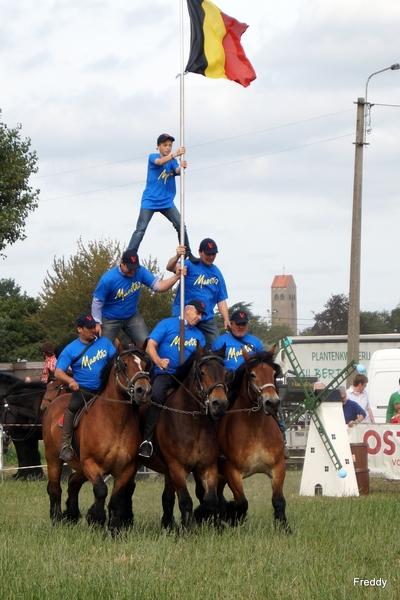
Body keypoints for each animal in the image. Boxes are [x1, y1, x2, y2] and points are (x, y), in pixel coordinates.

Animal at [41, 344, 152, 532]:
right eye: (124, 364)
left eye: (145, 364)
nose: (143, 391)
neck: (114, 422)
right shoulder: (90, 463)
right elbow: (101, 490)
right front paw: (97, 518)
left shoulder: (126, 469)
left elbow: (116, 498)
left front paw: (113, 529)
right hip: (53, 458)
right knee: (55, 489)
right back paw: (57, 519)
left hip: (79, 468)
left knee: (72, 482)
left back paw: (71, 514)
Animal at [140, 344, 230, 528]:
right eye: (202, 372)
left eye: (225, 373)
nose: (220, 403)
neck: (193, 424)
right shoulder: (177, 469)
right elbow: (186, 501)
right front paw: (188, 527)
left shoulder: (208, 468)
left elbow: (210, 499)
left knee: (168, 498)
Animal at [216, 346, 290, 528]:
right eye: (253, 375)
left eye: (273, 373)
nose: (272, 403)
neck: (256, 430)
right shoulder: (232, 472)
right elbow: (241, 503)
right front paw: (236, 522)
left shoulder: (278, 468)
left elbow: (278, 501)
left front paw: (285, 529)